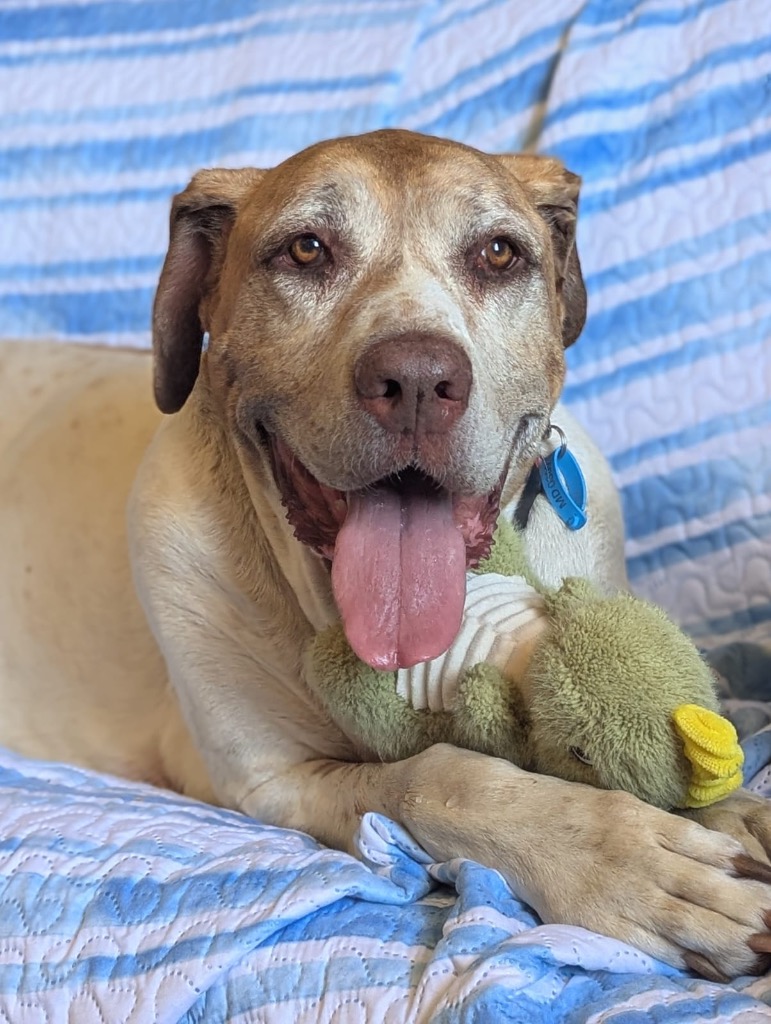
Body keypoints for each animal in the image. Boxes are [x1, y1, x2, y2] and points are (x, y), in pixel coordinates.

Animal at [1, 129, 770, 982]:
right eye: (305, 249)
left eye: (498, 253)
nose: (416, 379)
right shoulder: (272, 782)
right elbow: (439, 778)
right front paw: (625, 861)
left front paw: (731, 809)